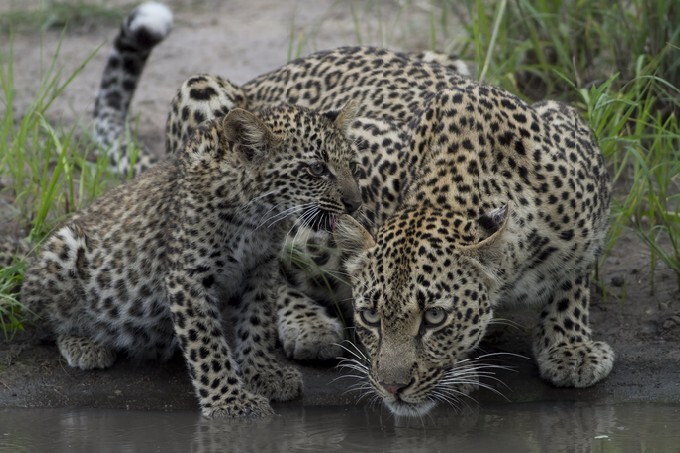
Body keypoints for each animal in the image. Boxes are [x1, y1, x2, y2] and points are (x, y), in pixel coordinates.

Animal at [21, 4, 363, 418]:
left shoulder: (259, 269)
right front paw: (231, 401)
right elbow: (207, 345)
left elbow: (256, 323)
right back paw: (87, 343)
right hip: (64, 250)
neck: (257, 219)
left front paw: (263, 373)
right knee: (46, 321)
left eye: (351, 165)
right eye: (316, 169)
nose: (355, 203)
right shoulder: (188, 277)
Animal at [91, 3, 613, 417]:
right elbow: (280, 255)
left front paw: (569, 346)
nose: (393, 387)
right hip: (202, 92)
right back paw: (307, 324)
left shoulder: (578, 144)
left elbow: (575, 275)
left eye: (436, 317)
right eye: (370, 317)